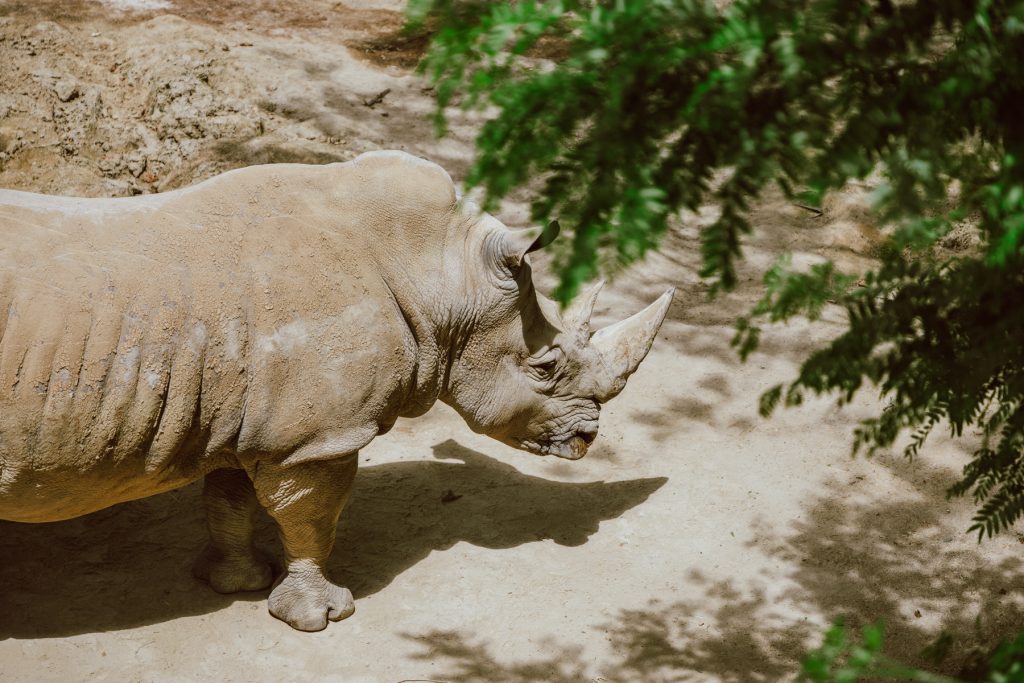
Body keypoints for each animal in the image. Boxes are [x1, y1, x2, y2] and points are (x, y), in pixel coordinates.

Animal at [2, 149, 671, 630]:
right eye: (546, 367)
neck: (441, 277)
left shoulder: (254, 414)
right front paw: (322, 616)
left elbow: (229, 499)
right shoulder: (319, 435)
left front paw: (235, 582)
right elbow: (312, 517)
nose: (587, 437)